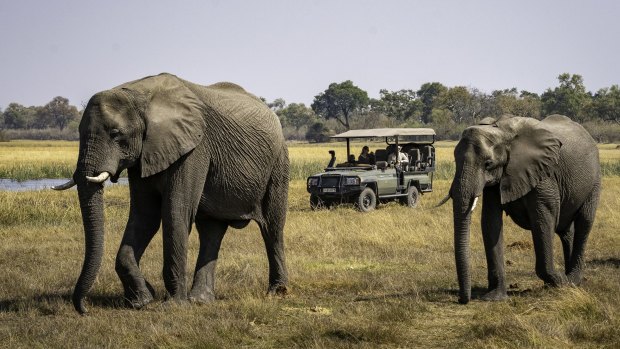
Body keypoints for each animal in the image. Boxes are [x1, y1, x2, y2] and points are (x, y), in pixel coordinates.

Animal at [52, 72, 290, 312]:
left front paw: (172, 305)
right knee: (211, 231)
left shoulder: (194, 148)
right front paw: (142, 300)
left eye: (115, 134)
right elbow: (144, 216)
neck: (140, 95)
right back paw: (200, 300)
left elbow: (176, 212)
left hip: (278, 161)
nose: (84, 308)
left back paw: (276, 292)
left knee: (272, 227)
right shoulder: (143, 155)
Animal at [444, 115, 600, 304]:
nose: (462, 300)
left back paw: (572, 280)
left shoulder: (543, 175)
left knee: (584, 221)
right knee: (566, 230)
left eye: (488, 164)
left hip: (594, 179)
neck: (501, 132)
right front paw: (494, 298)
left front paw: (560, 281)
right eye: (455, 161)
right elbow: (490, 221)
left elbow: (543, 219)